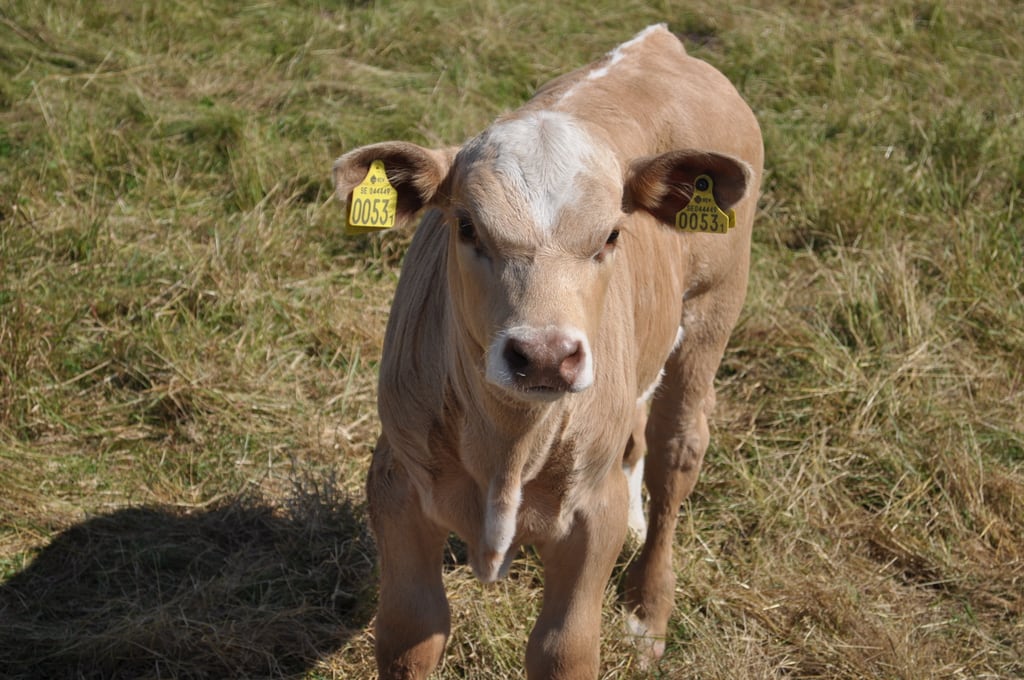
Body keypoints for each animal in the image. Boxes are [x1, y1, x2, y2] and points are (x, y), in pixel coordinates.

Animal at [333, 24, 763, 680]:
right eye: (466, 227)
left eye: (611, 235)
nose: (542, 355)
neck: (507, 449)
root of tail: (660, 43)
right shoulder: (396, 484)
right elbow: (412, 634)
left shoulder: (589, 518)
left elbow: (564, 649)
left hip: (713, 312)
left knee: (676, 452)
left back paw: (649, 608)